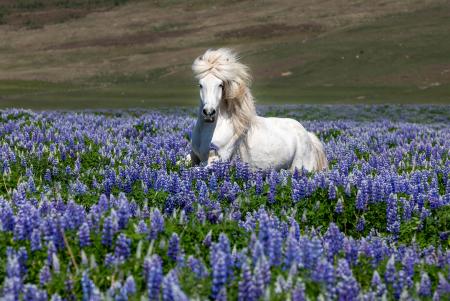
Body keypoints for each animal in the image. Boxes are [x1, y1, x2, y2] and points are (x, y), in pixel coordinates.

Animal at [186, 49, 326, 171]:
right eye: (200, 84)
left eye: (220, 85)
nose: (209, 113)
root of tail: (308, 135)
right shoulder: (194, 156)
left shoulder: (218, 159)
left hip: (299, 166)